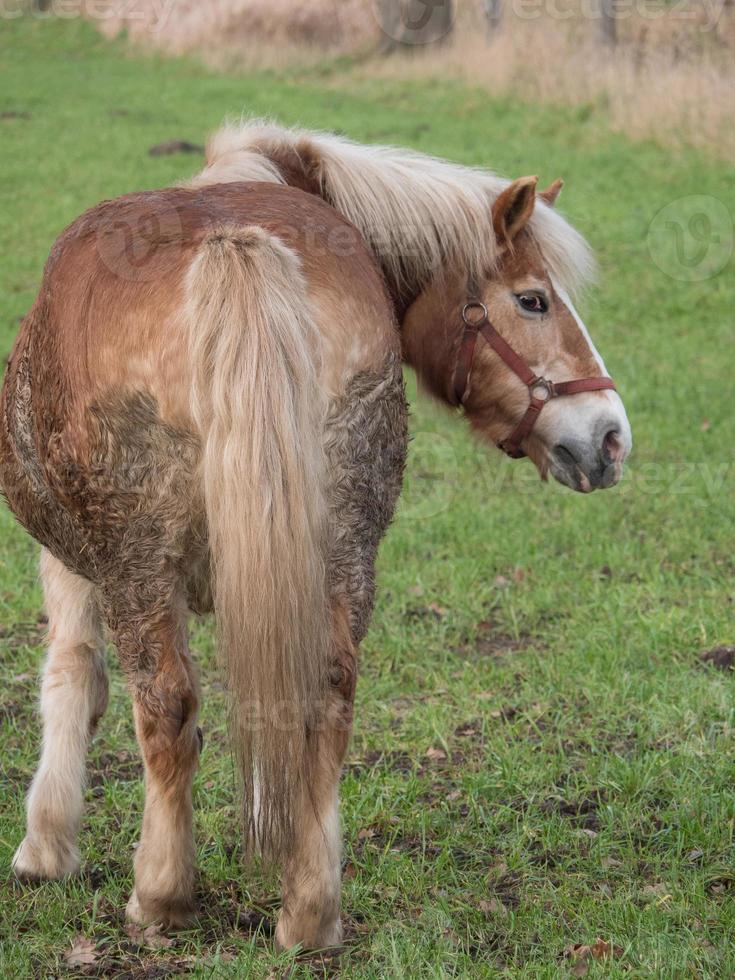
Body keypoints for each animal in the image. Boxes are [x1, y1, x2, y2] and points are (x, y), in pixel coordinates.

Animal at [1, 120, 632, 948]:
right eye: (531, 299)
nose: (609, 435)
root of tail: (235, 243)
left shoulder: (74, 557)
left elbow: (74, 676)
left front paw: (45, 846)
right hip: (339, 549)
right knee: (326, 696)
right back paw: (310, 906)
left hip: (140, 564)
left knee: (166, 706)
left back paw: (161, 895)